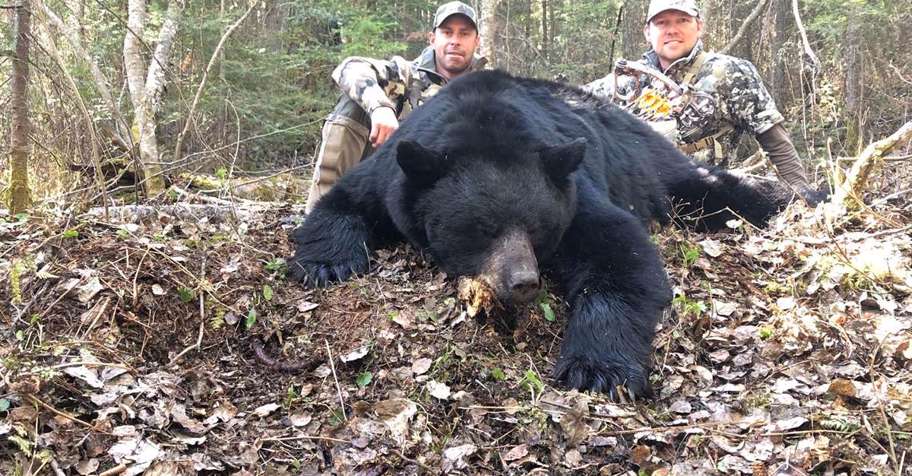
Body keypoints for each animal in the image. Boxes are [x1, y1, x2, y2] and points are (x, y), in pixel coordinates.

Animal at [289, 70, 790, 398]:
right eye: (483, 228)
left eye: (536, 227)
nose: (524, 282)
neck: (483, 124)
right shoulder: (398, 172)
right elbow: (345, 201)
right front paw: (325, 262)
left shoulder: (572, 190)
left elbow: (620, 254)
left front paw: (596, 368)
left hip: (659, 173)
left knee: (717, 190)